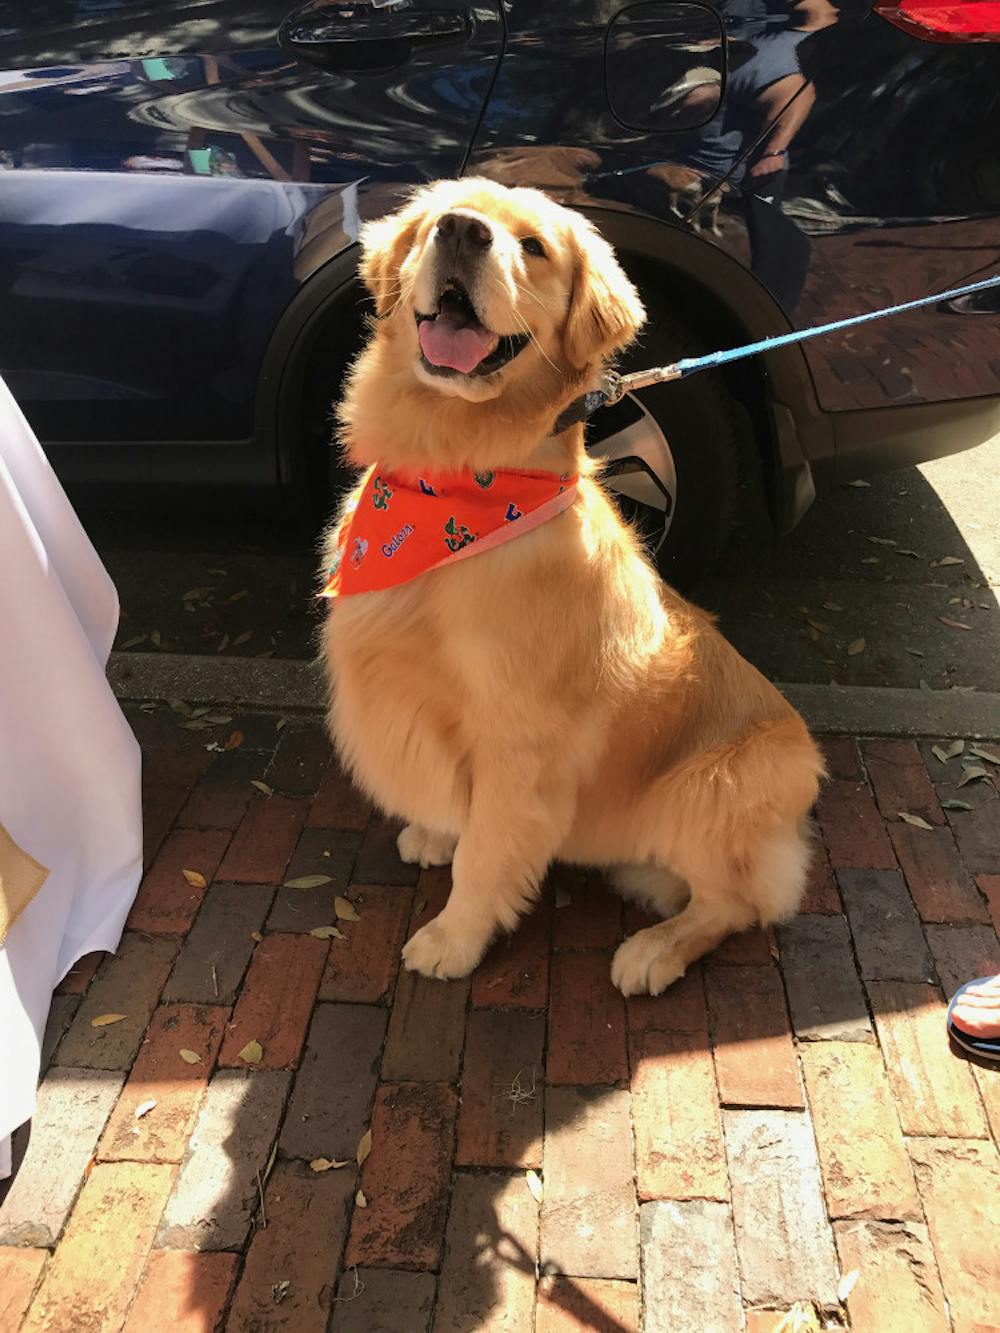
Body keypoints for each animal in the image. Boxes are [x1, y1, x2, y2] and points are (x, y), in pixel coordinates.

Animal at [318, 174, 821, 991]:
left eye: (534, 247)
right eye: (436, 220)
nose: (461, 231)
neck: (454, 481)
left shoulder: (519, 742)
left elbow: (488, 851)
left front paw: (454, 938)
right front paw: (434, 832)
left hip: (707, 788)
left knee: (737, 904)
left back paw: (653, 951)